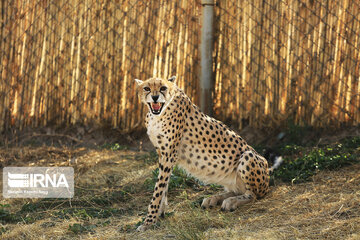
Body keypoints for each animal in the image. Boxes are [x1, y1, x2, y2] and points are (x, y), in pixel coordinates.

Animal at [134, 76, 282, 231]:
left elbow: (158, 189)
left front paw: (149, 221)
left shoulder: (169, 155)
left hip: (248, 156)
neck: (157, 114)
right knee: (237, 190)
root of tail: (267, 171)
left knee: (253, 194)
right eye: (147, 88)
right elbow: (164, 187)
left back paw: (231, 202)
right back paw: (214, 199)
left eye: (163, 88)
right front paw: (160, 213)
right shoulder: (163, 154)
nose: (155, 97)